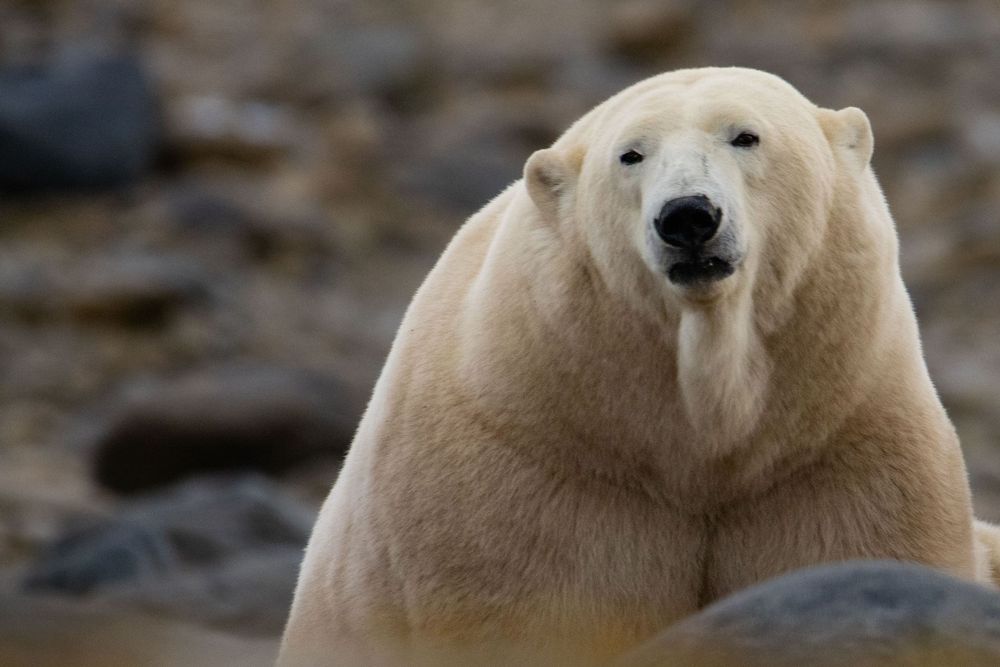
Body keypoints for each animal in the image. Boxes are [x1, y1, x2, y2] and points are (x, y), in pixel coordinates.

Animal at [279, 67, 997, 666]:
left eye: (746, 135)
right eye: (630, 154)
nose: (688, 216)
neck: (696, 443)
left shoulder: (841, 457)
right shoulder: (519, 486)